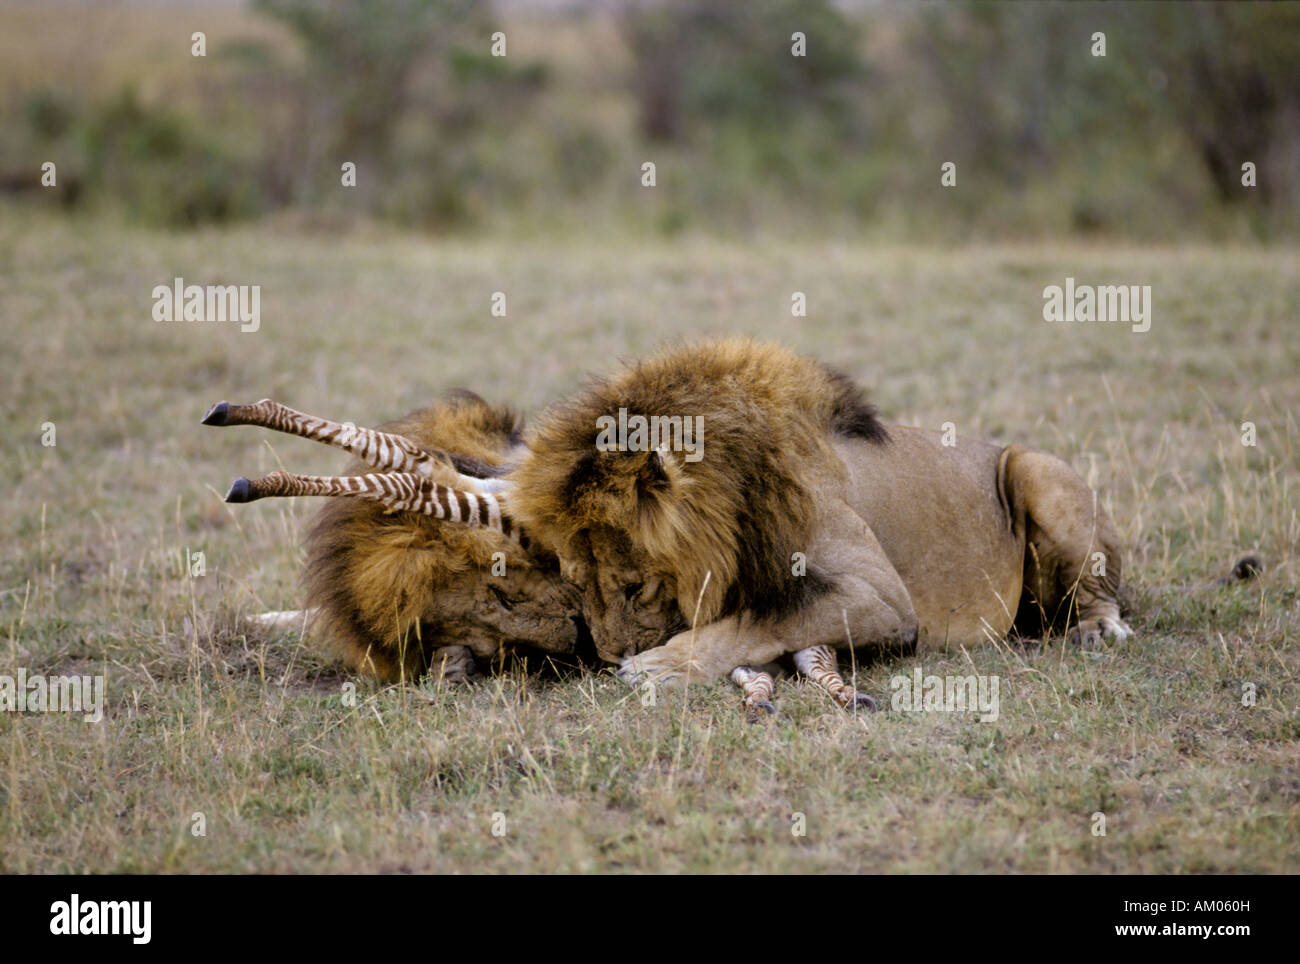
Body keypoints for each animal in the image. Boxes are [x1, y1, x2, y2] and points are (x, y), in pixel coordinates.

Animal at [501, 335, 1133, 691]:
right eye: (576, 586)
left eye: (636, 588)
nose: (607, 659)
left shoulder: (882, 597)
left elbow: (767, 616)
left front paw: (661, 666)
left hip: (1036, 470)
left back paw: (1097, 628)